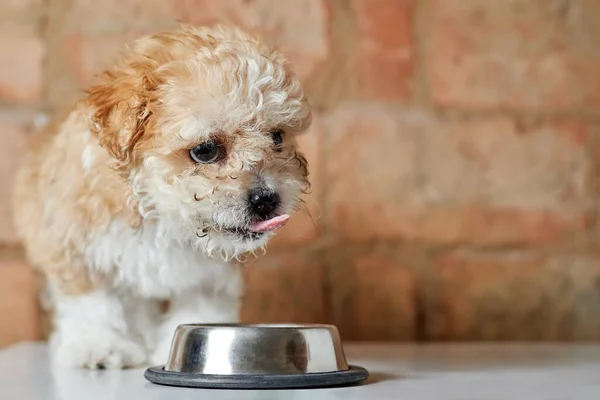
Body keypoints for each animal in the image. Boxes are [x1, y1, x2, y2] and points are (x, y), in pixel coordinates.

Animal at [11, 24, 312, 368]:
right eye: (205, 151)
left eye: (277, 137)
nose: (267, 199)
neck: (157, 212)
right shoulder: (74, 246)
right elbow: (92, 302)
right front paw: (100, 347)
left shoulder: (209, 277)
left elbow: (199, 309)